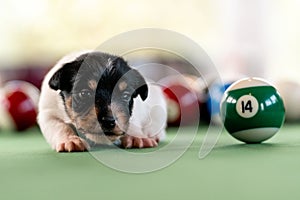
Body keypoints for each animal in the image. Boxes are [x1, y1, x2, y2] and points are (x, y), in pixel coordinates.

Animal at [37, 50, 166, 152]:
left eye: (125, 95)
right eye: (85, 93)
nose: (109, 121)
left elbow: (132, 122)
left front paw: (137, 137)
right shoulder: (48, 113)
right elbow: (60, 126)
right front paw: (70, 140)